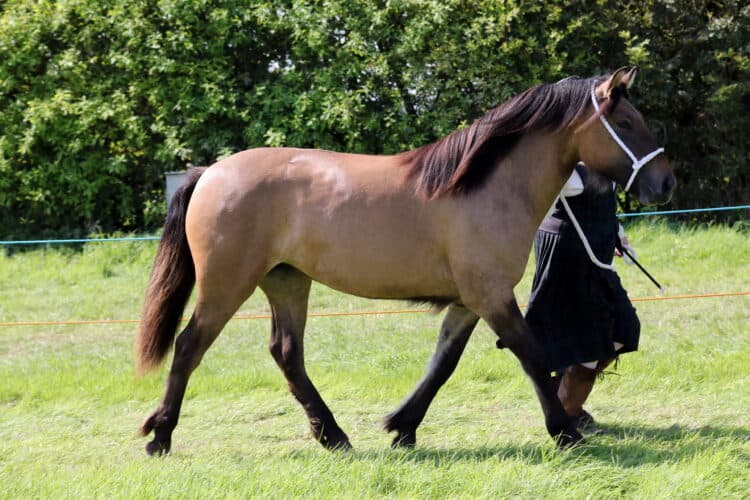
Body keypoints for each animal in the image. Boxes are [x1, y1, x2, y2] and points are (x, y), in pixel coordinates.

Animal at [136, 67, 675, 455]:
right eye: (625, 123)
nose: (665, 183)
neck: (483, 187)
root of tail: (210, 172)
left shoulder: (468, 302)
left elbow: (442, 364)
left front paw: (402, 427)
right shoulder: (492, 297)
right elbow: (533, 356)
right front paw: (564, 431)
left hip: (286, 282)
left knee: (286, 354)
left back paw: (333, 436)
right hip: (227, 284)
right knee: (189, 346)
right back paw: (160, 436)